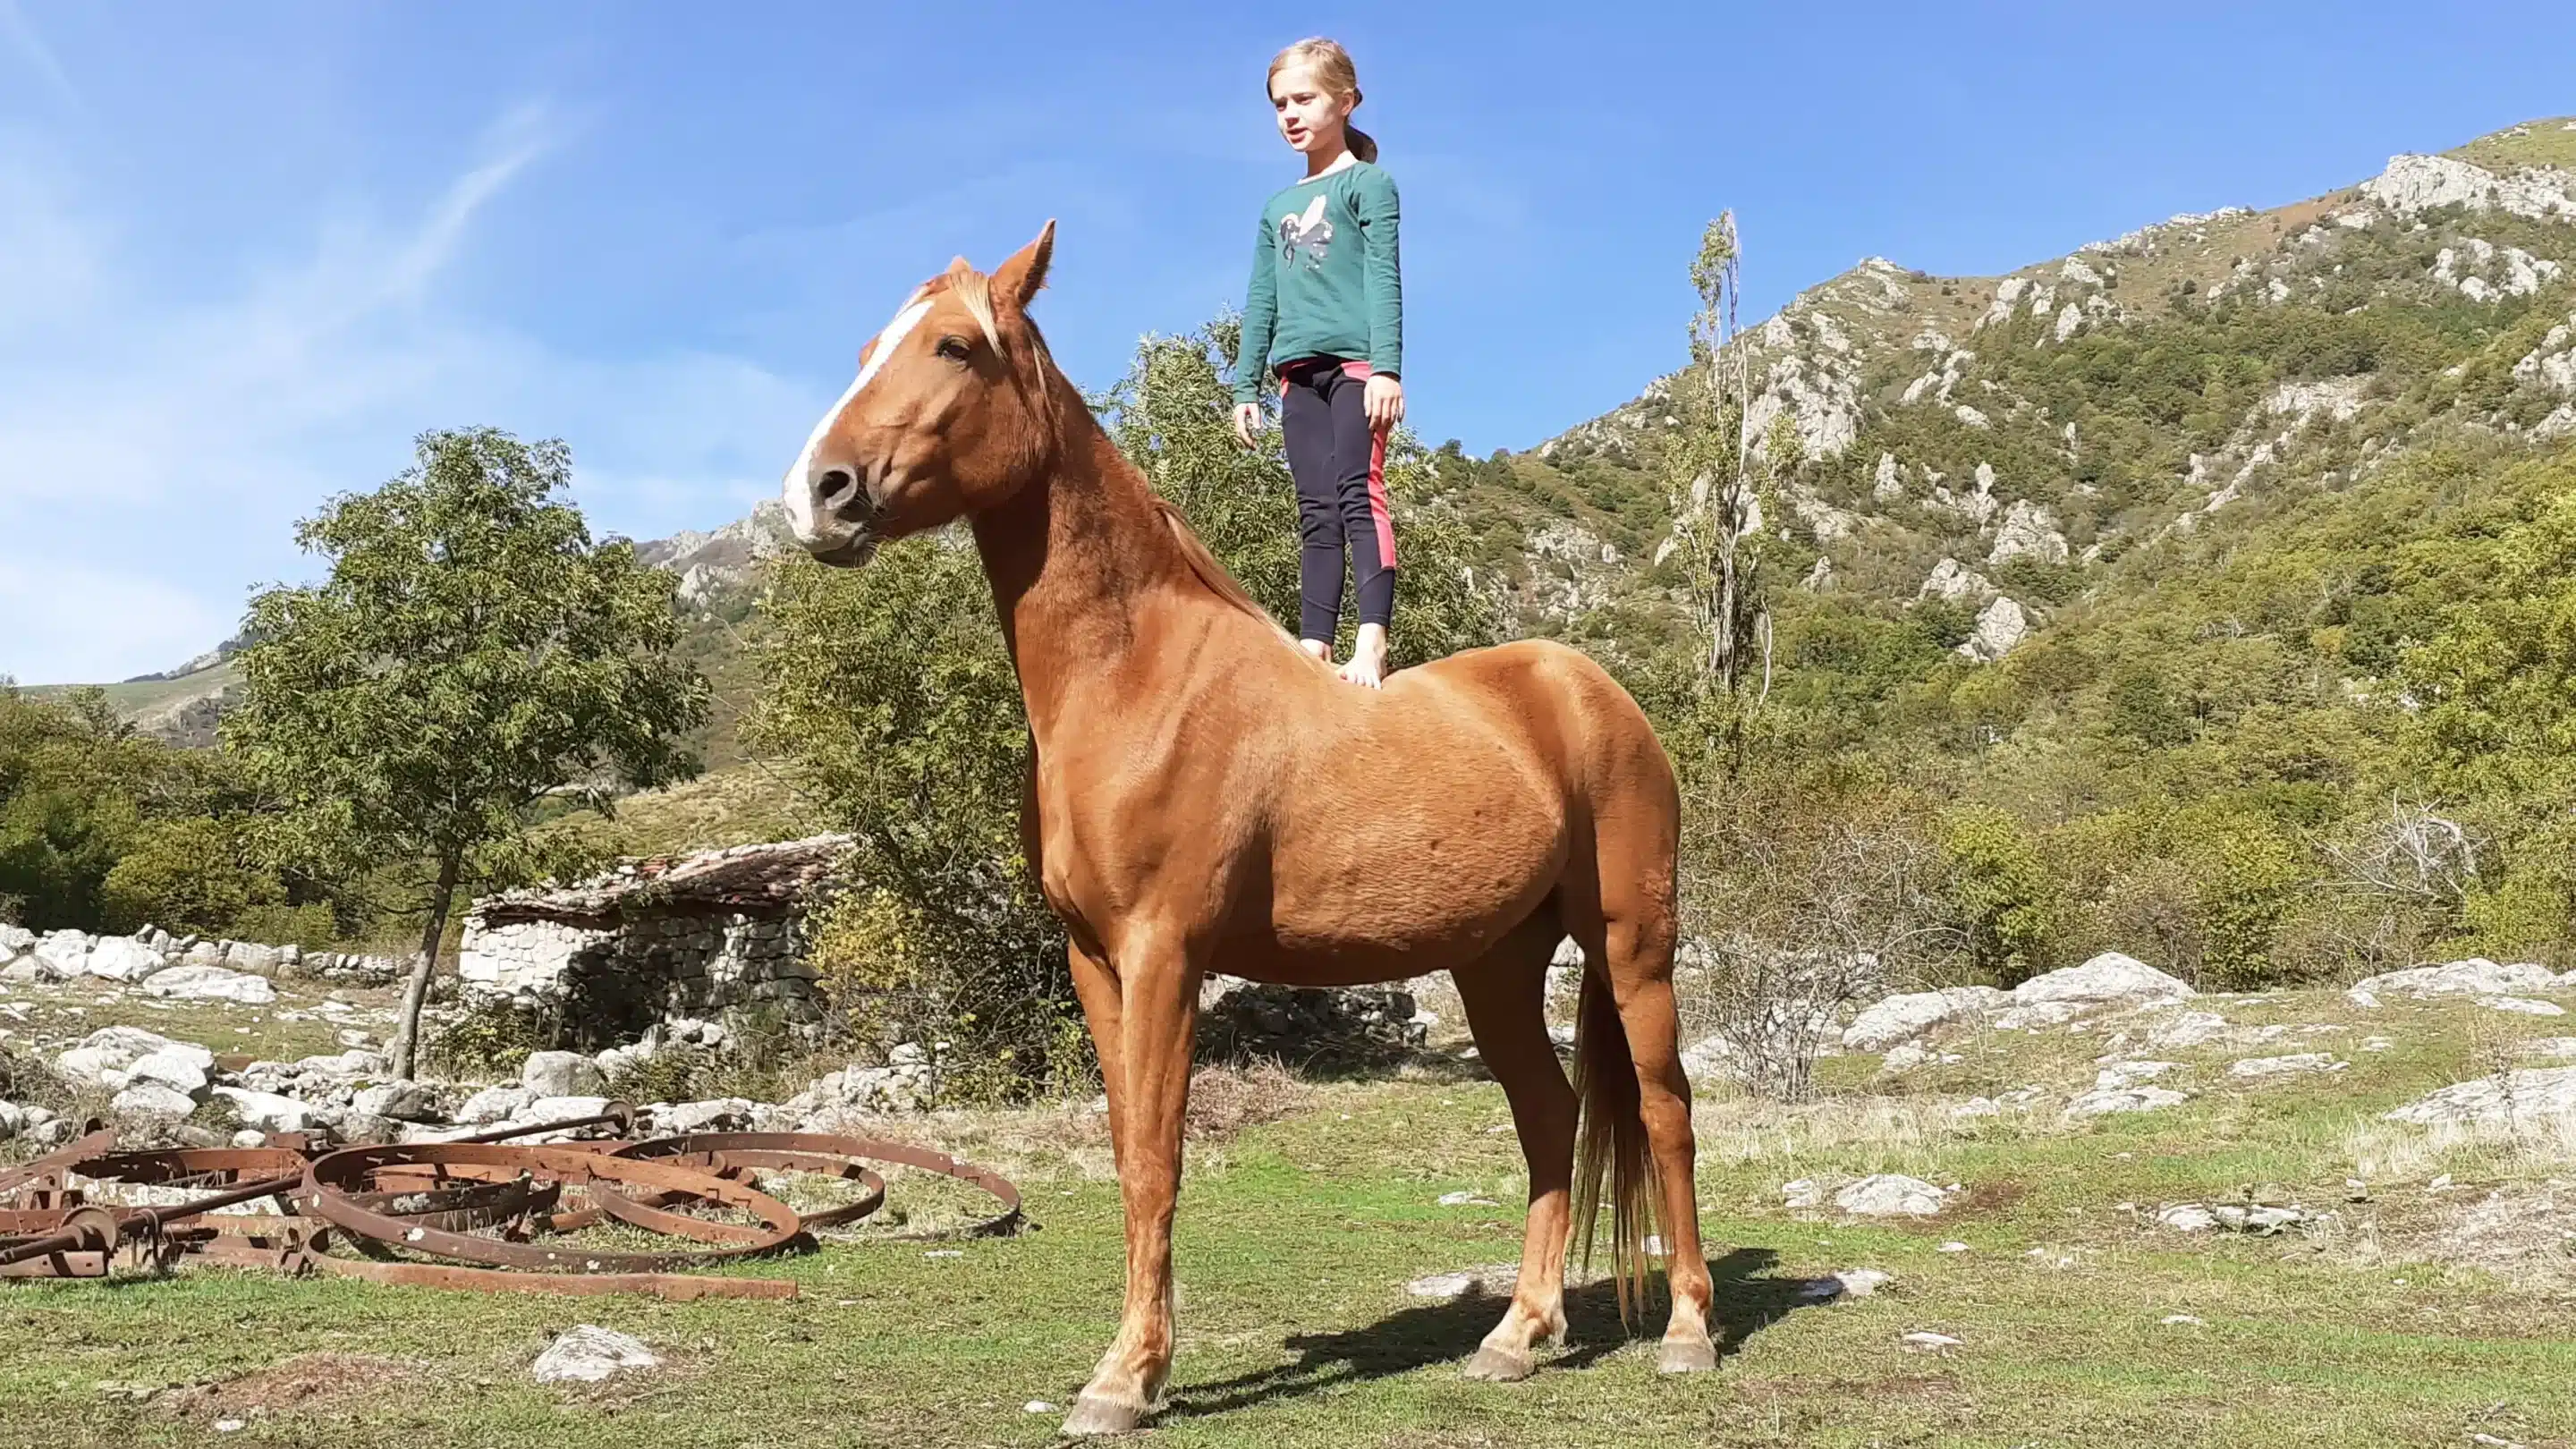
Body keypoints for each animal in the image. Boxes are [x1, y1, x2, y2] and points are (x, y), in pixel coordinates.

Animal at [783, 225, 1710, 1433]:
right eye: (866, 349)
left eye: (953, 347)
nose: (819, 493)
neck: (1136, 680)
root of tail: (1593, 692)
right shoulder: (1096, 963)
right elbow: (1128, 1148)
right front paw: (1134, 1364)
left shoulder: (1164, 955)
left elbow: (1156, 1161)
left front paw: (1125, 1380)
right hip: (1498, 964)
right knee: (1551, 1121)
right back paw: (1517, 1334)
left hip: (1633, 946)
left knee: (1664, 1109)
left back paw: (1689, 1330)